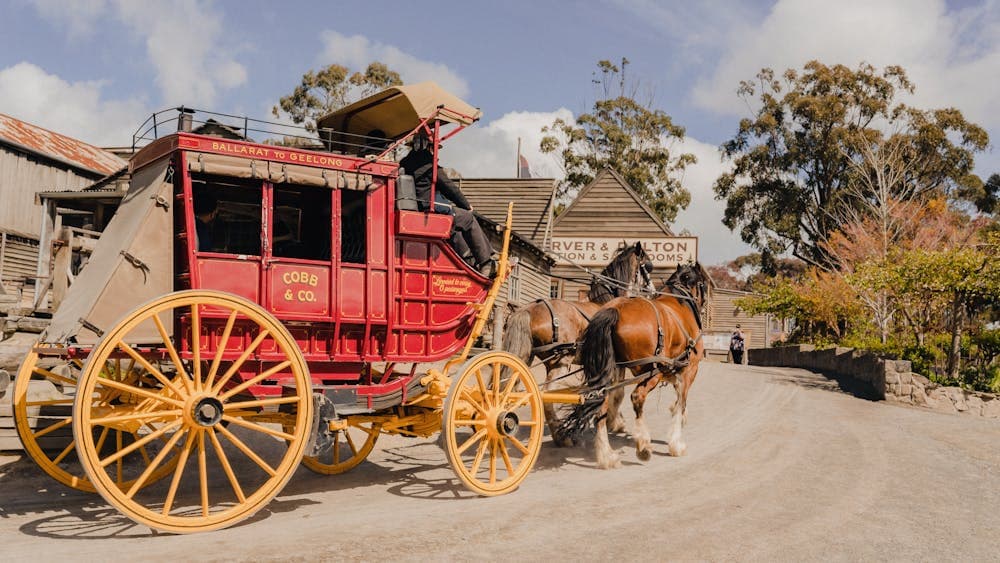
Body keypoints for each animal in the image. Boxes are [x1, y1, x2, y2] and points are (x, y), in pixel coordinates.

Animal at [504, 242, 652, 446]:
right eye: (648, 266)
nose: (652, 290)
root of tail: (530, 308)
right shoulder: (617, 364)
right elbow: (617, 392)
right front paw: (616, 422)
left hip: (527, 357)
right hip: (559, 362)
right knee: (546, 395)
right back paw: (560, 436)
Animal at [560, 262, 708, 470]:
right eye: (703, 284)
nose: (704, 307)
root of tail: (615, 309)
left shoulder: (672, 370)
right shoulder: (689, 370)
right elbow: (681, 401)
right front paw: (676, 443)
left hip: (611, 369)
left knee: (602, 404)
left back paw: (607, 456)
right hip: (651, 372)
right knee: (637, 397)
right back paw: (643, 445)